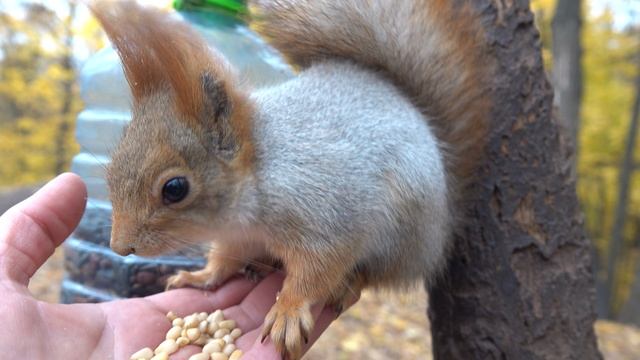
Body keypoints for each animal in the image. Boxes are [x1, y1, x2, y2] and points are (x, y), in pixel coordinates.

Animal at [89, 0, 490, 358]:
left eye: (175, 189)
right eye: (113, 166)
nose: (120, 247)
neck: (261, 173)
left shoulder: (326, 218)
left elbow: (317, 271)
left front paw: (288, 310)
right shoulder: (238, 237)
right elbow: (224, 262)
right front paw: (201, 277)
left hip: (403, 233)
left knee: (376, 273)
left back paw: (348, 284)